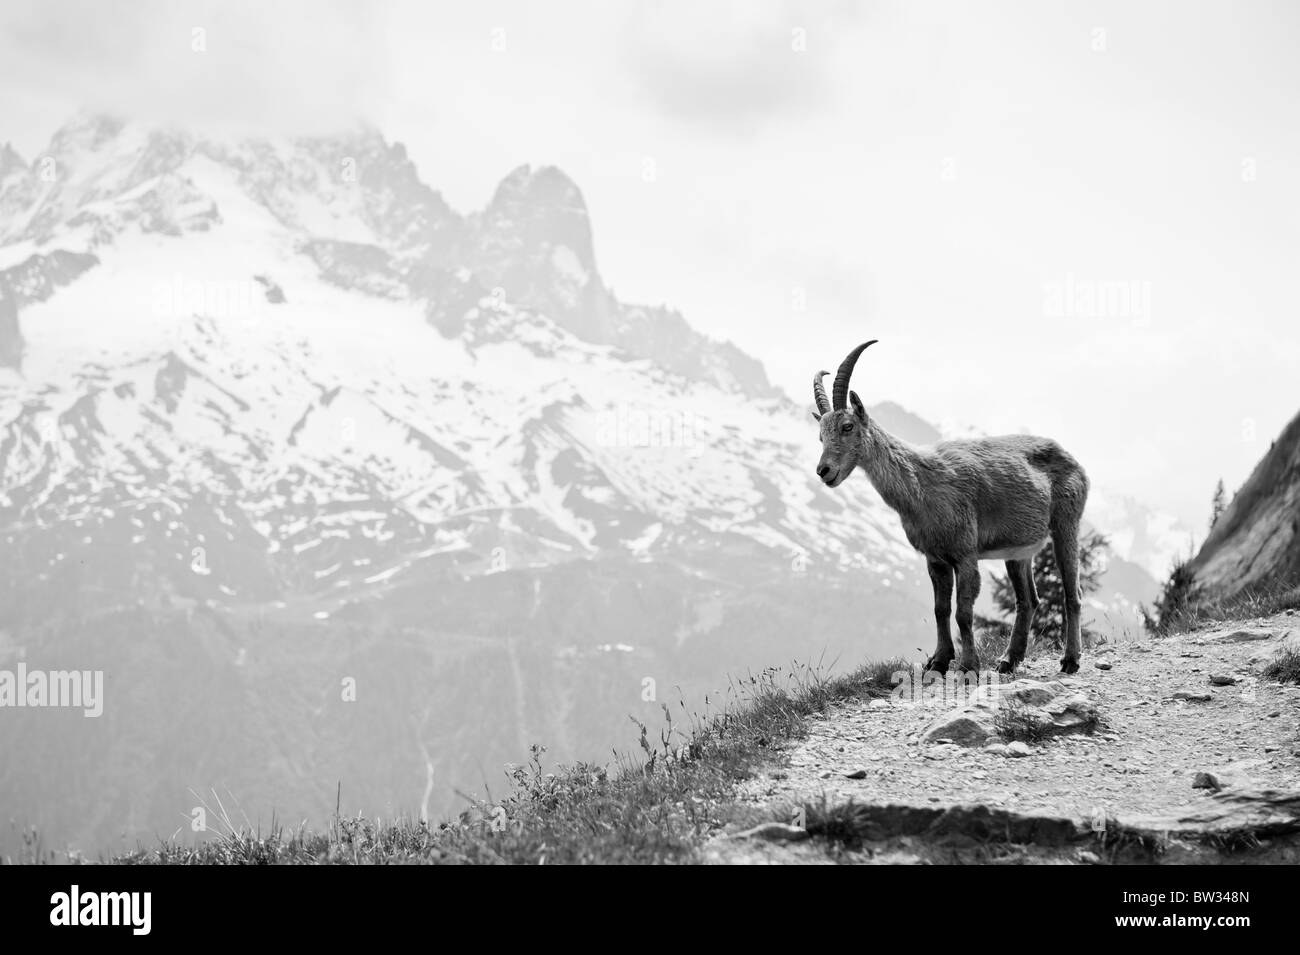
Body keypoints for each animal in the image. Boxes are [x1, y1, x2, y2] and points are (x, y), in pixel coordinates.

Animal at [811, 343, 1086, 670]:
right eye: (820, 435)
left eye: (847, 426)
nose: (824, 471)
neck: (920, 488)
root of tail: (1073, 460)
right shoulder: (936, 558)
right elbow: (940, 609)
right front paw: (939, 660)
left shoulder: (965, 554)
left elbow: (963, 613)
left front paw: (968, 664)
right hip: (1019, 552)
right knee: (1028, 599)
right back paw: (1009, 660)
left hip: (1066, 524)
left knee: (1072, 593)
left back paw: (1070, 659)